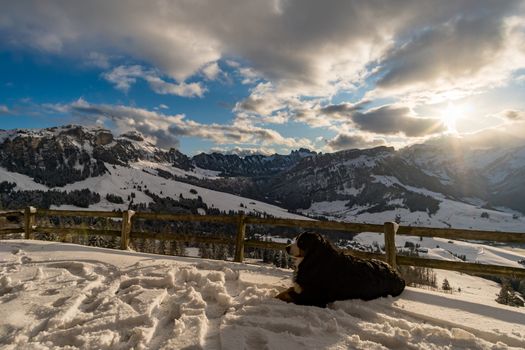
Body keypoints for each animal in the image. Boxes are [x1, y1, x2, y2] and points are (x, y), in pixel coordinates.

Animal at [274, 231, 406, 308]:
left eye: (302, 242)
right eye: (297, 239)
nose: (286, 247)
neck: (315, 260)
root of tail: (399, 275)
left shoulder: (315, 296)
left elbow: (288, 295)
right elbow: (288, 291)